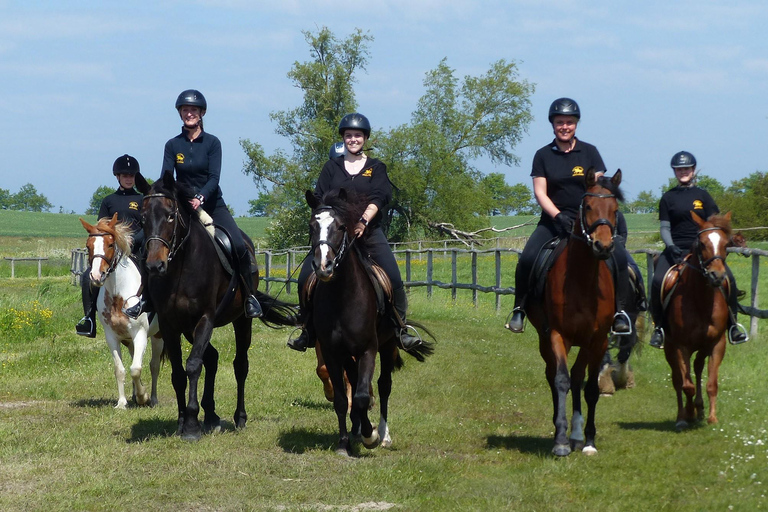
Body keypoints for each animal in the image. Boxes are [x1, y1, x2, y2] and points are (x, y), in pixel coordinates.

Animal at [79, 212, 164, 408]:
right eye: (88, 246)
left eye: (110, 244)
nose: (96, 276)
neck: (119, 294)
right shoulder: (112, 337)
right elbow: (120, 369)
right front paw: (122, 402)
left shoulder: (140, 334)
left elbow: (136, 368)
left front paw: (143, 396)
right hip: (129, 340)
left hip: (158, 336)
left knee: (154, 365)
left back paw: (153, 398)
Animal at [142, 171, 298, 440]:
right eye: (143, 217)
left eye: (170, 215)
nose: (154, 266)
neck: (181, 268)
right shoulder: (171, 325)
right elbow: (178, 373)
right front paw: (182, 421)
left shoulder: (205, 319)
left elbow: (193, 365)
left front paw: (191, 426)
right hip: (189, 329)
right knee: (213, 358)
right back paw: (211, 416)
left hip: (241, 321)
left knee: (240, 365)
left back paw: (239, 417)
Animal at [308, 188, 438, 456]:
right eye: (311, 226)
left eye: (340, 226)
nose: (323, 266)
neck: (341, 297)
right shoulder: (332, 351)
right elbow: (341, 398)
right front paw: (344, 442)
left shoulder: (368, 348)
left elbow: (362, 396)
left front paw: (371, 436)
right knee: (355, 381)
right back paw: (357, 429)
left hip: (388, 346)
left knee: (383, 385)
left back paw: (383, 434)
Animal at [524, 168, 628, 456]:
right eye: (588, 206)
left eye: (615, 209)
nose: (603, 246)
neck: (582, 280)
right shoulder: (558, 334)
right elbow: (561, 380)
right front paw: (560, 441)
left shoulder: (598, 339)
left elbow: (589, 387)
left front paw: (589, 440)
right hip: (545, 338)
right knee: (553, 375)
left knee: (578, 376)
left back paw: (578, 434)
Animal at [664, 210, 736, 430]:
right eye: (702, 244)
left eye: (726, 244)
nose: (717, 275)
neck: (701, 301)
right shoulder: (681, 346)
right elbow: (686, 385)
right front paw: (687, 414)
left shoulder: (716, 344)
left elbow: (711, 383)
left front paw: (711, 417)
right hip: (669, 348)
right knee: (678, 380)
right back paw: (682, 415)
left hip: (702, 348)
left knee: (697, 367)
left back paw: (700, 409)